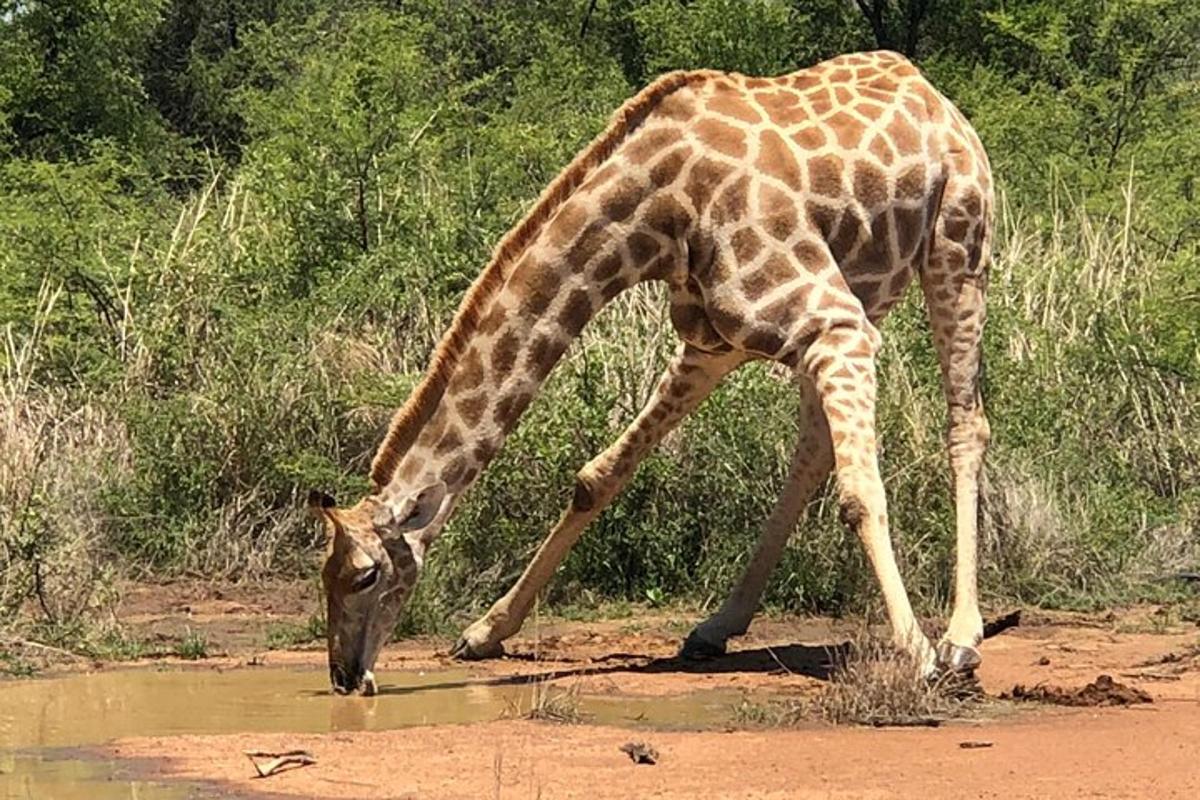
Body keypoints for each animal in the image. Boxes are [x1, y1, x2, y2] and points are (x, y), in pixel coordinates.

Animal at [312, 50, 993, 695]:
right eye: (324, 574)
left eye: (366, 574)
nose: (345, 676)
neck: (654, 212)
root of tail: (932, 91)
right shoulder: (717, 342)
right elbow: (597, 477)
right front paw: (485, 631)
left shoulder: (833, 323)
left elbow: (859, 496)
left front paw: (919, 656)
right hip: (860, 297)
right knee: (813, 449)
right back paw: (718, 626)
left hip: (957, 249)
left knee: (966, 424)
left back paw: (961, 638)